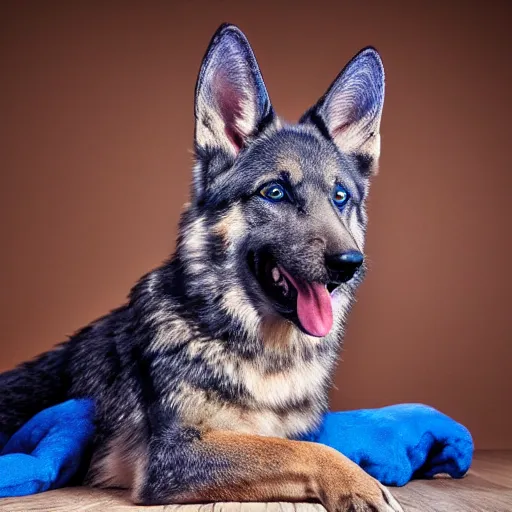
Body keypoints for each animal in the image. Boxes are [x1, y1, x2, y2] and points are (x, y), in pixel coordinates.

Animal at [0, 24, 402, 512]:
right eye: (274, 192)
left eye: (340, 197)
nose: (348, 264)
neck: (261, 352)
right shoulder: (174, 455)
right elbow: (295, 449)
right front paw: (358, 481)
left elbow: (301, 442)